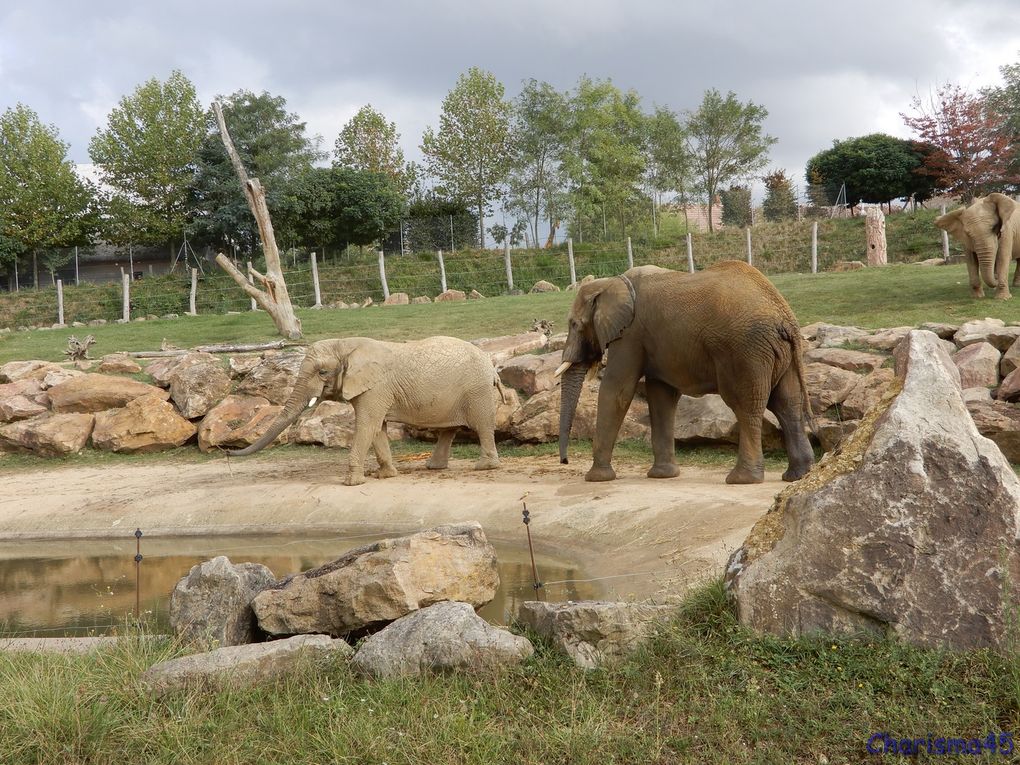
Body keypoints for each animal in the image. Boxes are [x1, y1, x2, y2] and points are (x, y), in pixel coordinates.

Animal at [227, 338, 505, 487]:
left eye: (322, 372)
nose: (228, 451)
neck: (345, 344)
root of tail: (491, 366)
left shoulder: (376, 388)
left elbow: (366, 426)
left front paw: (351, 483)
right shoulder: (373, 390)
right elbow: (377, 429)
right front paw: (384, 475)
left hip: (477, 390)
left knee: (481, 425)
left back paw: (485, 466)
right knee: (449, 429)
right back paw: (434, 467)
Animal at [554, 261, 816, 481]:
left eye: (574, 324)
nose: (564, 461)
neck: (609, 282)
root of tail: (786, 316)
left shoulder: (630, 334)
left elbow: (617, 390)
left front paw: (596, 478)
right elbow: (661, 395)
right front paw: (662, 476)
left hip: (746, 351)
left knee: (745, 405)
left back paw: (742, 479)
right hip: (780, 353)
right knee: (787, 404)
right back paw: (797, 475)